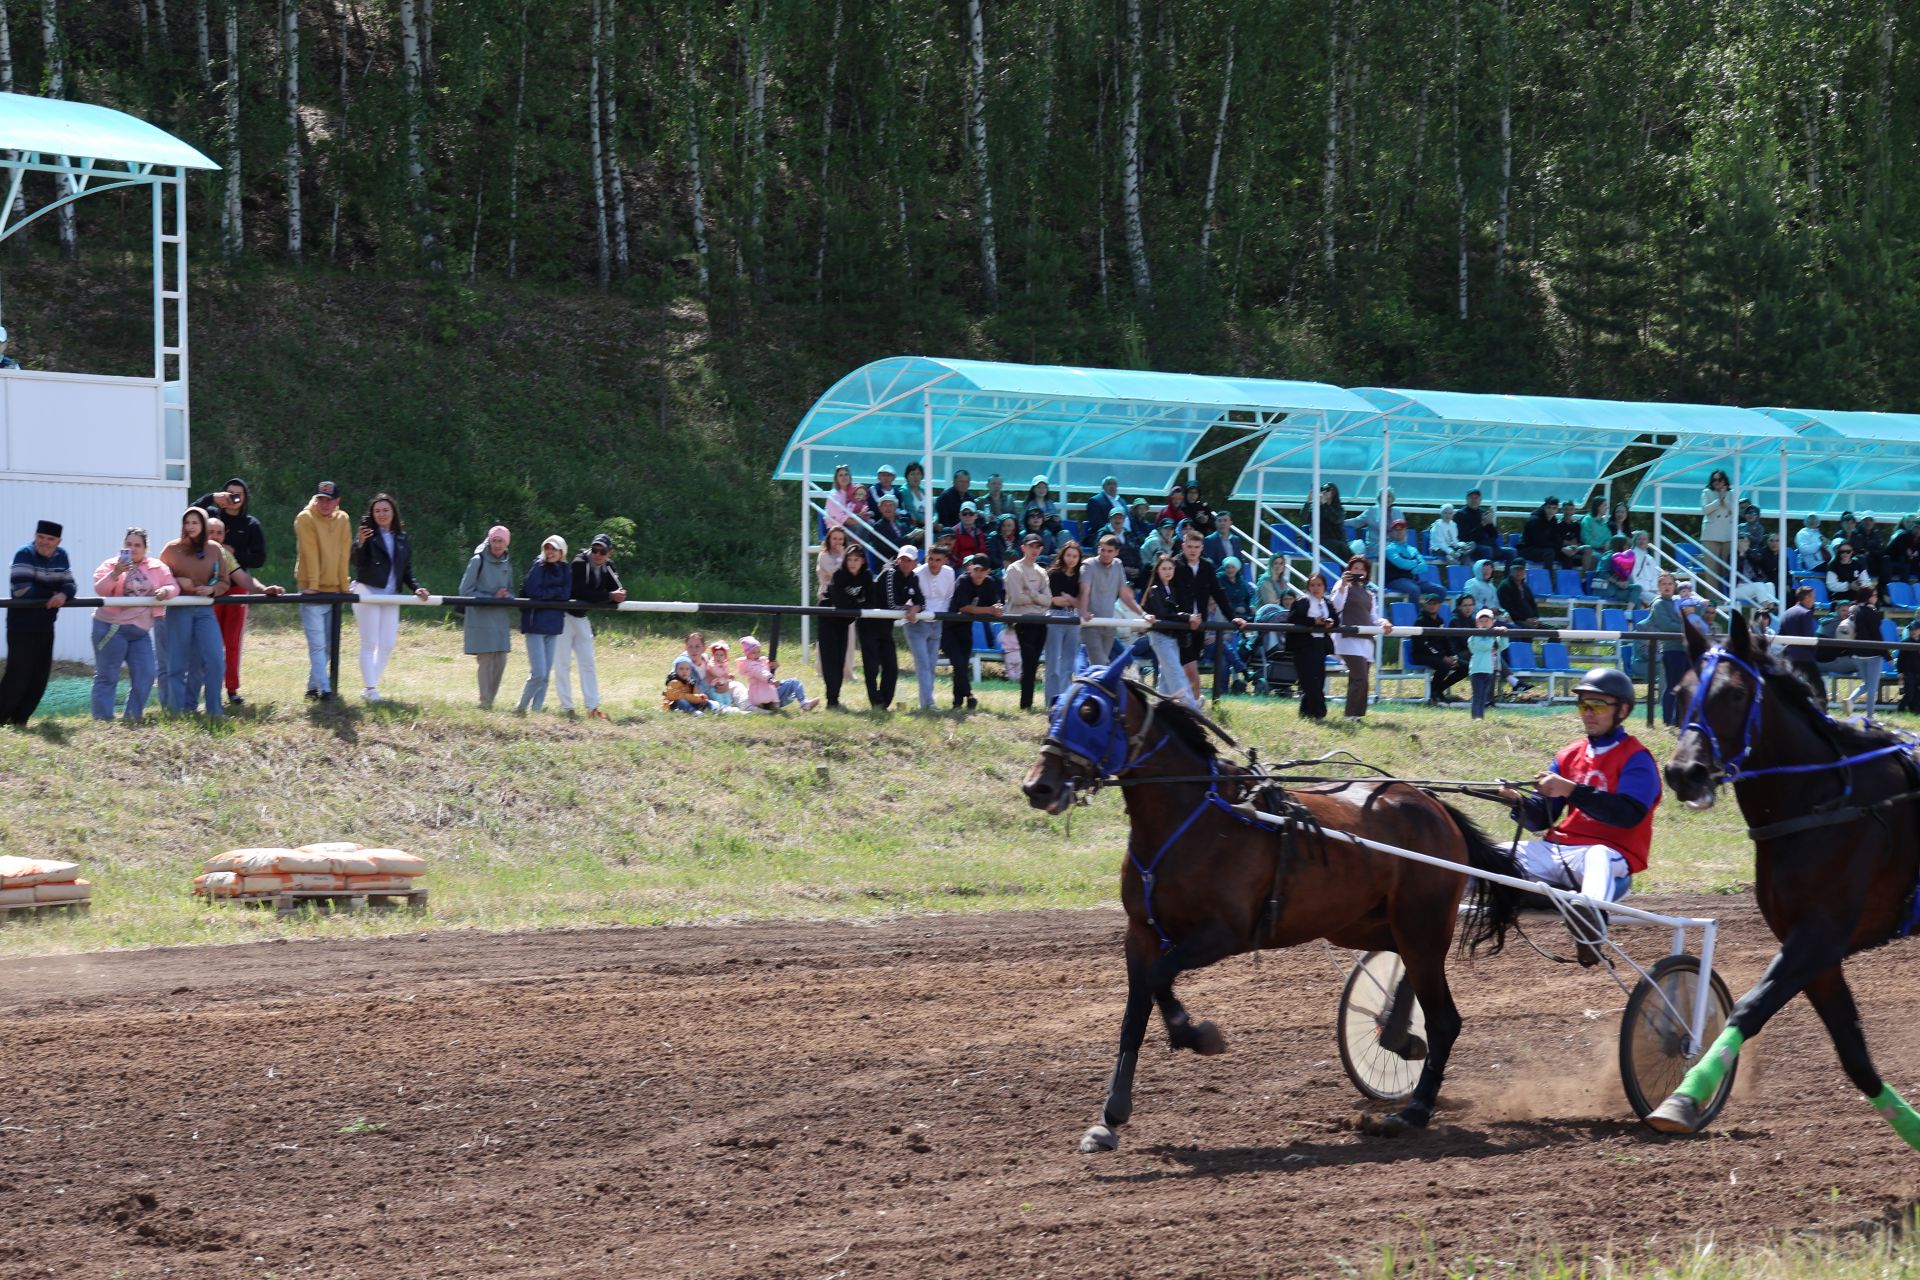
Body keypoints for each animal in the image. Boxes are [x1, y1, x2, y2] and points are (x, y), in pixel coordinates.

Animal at [1021, 656, 1528, 1159]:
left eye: (1090, 712)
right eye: (1054, 707)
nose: (1038, 787)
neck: (1193, 817)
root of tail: (1435, 805)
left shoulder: (1224, 933)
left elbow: (1159, 978)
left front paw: (1197, 1034)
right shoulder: (1141, 933)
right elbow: (1137, 1011)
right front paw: (1109, 1117)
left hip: (1423, 924)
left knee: (1444, 1019)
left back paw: (1415, 1109)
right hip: (1366, 922)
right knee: (1403, 969)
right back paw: (1397, 1036)